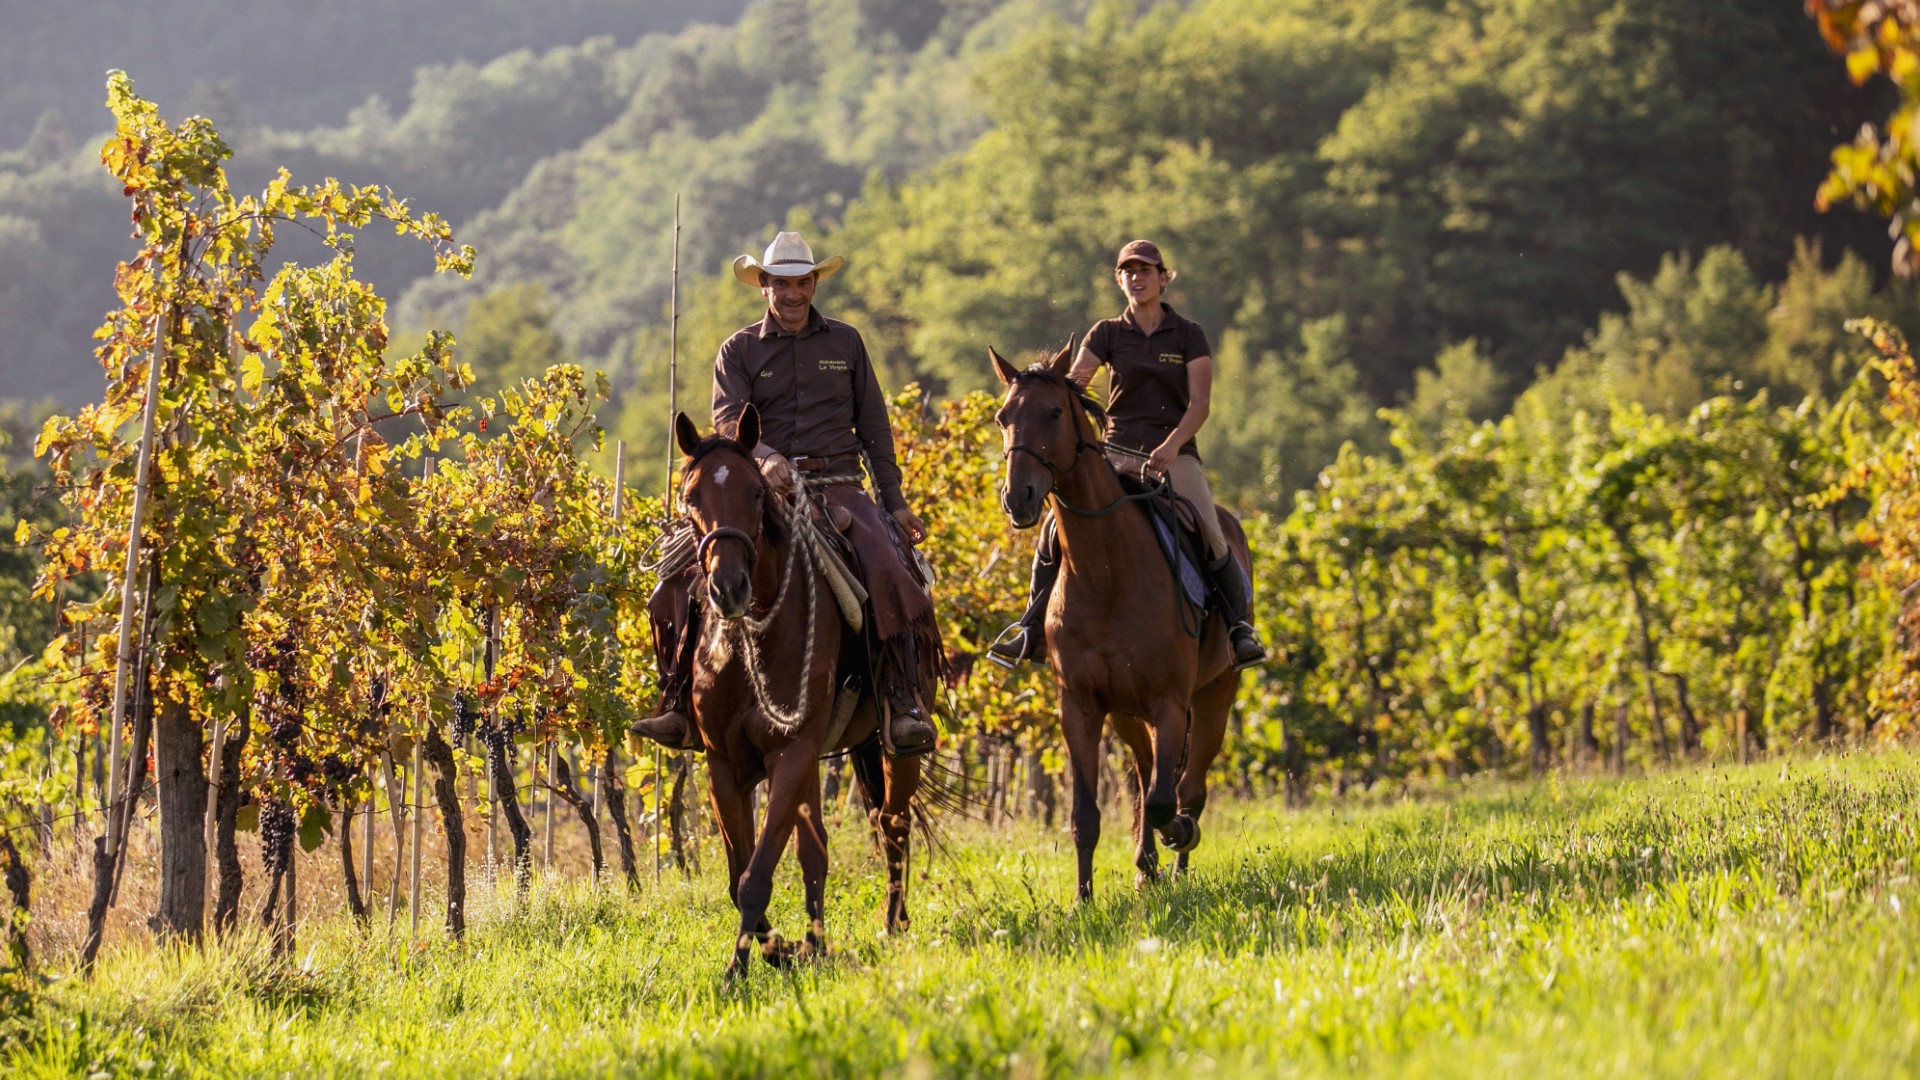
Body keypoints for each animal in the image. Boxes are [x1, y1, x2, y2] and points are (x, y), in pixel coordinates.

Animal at [675, 405, 921, 976]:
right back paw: (814, 944)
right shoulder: (725, 766)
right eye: (691, 496)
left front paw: (740, 970)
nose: (728, 589)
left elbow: (756, 876)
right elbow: (739, 874)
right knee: (820, 847)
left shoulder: (791, 753)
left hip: (888, 742)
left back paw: (891, 923)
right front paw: (777, 951)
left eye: (755, 494)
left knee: (893, 822)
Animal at [990, 342, 1244, 891]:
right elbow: (1087, 814)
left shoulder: (1170, 703)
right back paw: (1147, 869)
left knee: (1189, 786)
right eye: (1003, 417)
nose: (1018, 497)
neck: (1107, 574)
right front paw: (1083, 899)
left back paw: (1176, 864)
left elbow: (1168, 800)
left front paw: (1179, 835)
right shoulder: (1080, 707)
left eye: (1054, 412)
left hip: (1214, 698)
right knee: (1145, 776)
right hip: (1128, 713)